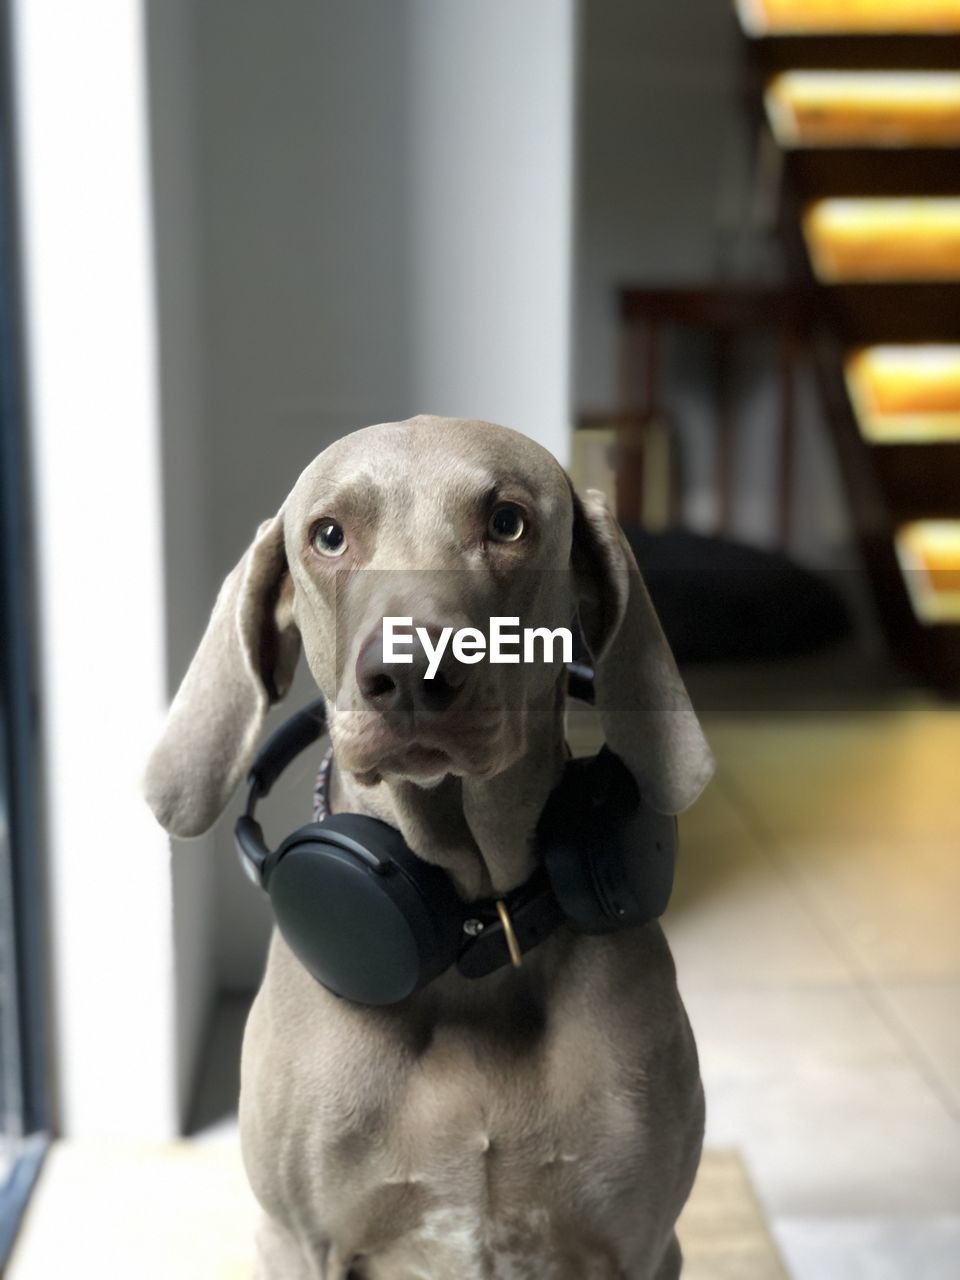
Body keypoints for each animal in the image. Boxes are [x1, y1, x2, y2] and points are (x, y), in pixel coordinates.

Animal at [142, 419, 716, 1280]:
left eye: (508, 523)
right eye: (329, 535)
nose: (410, 674)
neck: (465, 937)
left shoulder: (644, 1243)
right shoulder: (295, 1239)